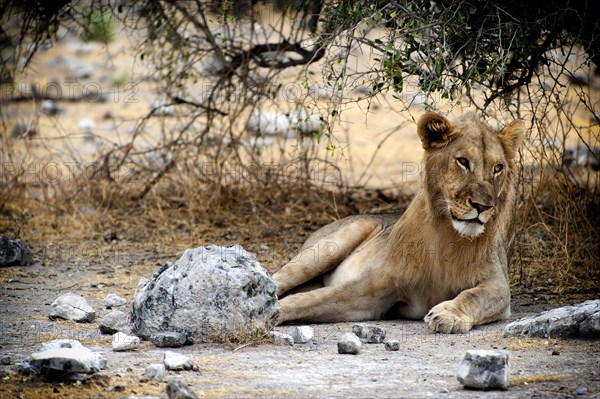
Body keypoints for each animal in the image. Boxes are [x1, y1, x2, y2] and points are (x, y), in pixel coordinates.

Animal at [274, 112, 528, 334]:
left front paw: (448, 314)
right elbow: (309, 299)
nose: (483, 206)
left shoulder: (497, 284)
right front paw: (270, 312)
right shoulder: (369, 290)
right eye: (463, 162)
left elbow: (474, 296)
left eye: (498, 168)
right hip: (331, 245)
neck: (447, 236)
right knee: (278, 279)